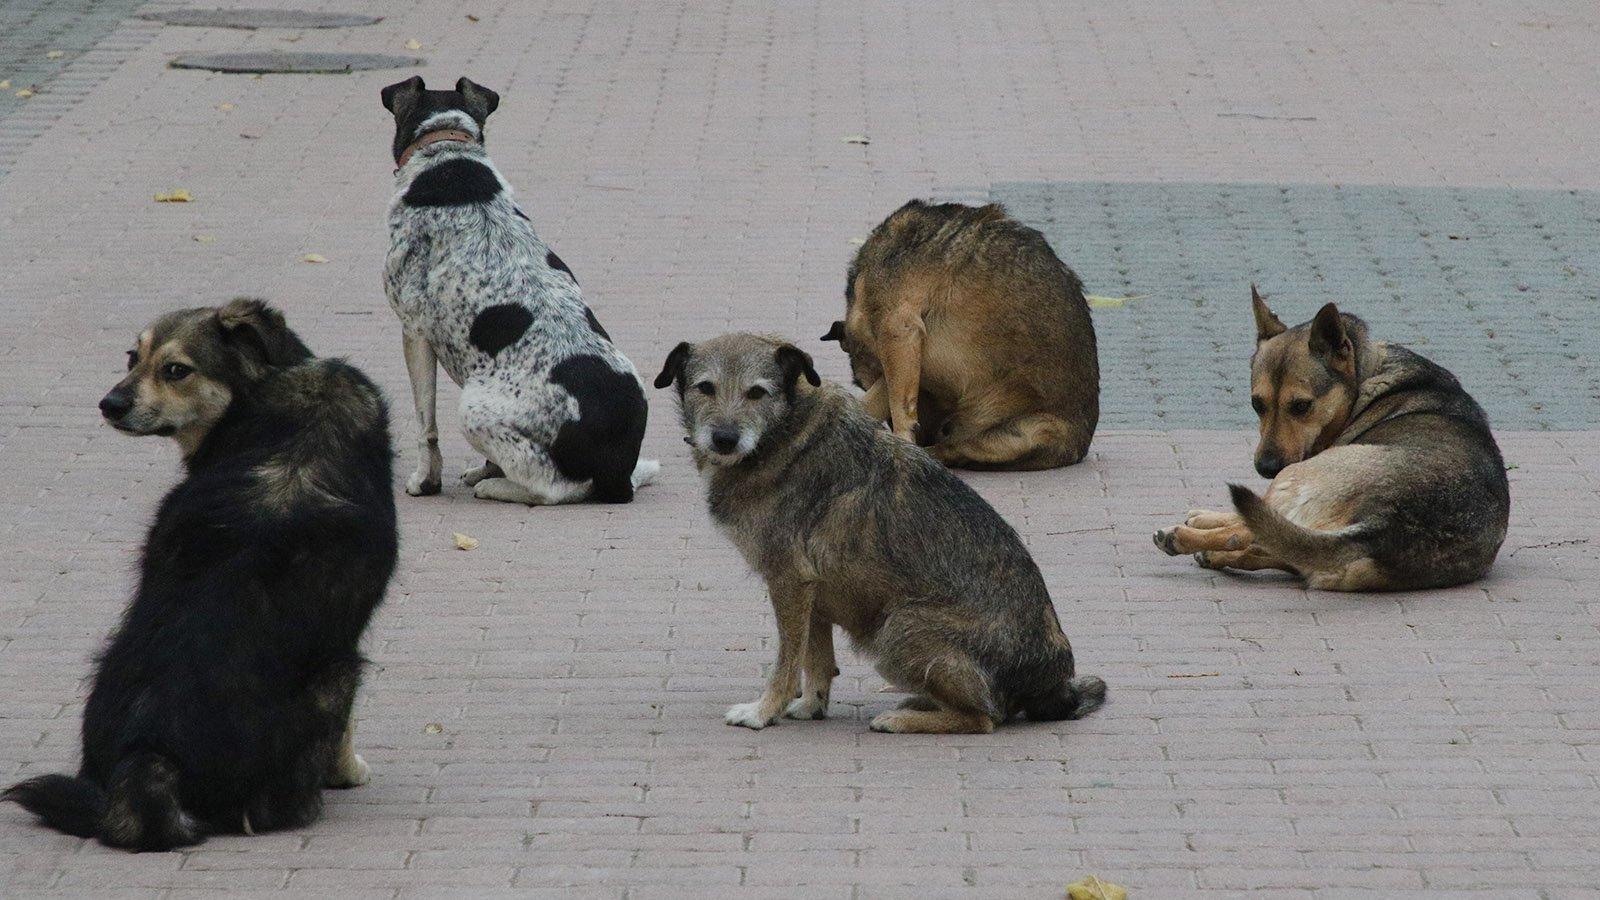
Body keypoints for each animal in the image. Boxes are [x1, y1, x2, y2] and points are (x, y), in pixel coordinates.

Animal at [1, 297, 398, 845]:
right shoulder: (346, 637)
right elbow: (348, 729)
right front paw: (348, 771)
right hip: (338, 673)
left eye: (176, 370)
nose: (110, 404)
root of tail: (151, 757)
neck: (268, 387)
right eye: (133, 357)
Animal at [380, 76, 656, 506]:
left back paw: (500, 487)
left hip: (472, 409)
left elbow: (426, 424)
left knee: (553, 488)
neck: (447, 147)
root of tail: (617, 475)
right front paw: (483, 469)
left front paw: (426, 481)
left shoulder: (414, 333)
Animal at [656, 333, 1107, 733]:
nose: (724, 439)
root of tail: (1054, 683)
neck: (784, 434)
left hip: (896, 627)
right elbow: (816, 658)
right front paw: (811, 705)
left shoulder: (788, 581)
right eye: (705, 388)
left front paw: (764, 712)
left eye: (757, 392)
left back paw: (902, 719)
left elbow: (787, 661)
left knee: (984, 718)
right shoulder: (812, 589)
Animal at [825, 199, 1100, 470]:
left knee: (951, 451)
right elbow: (875, 402)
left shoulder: (898, 331)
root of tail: (1080, 446)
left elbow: (899, 409)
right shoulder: (904, 356)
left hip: (1025, 432)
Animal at [1152, 286, 1510, 592]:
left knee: (1247, 530)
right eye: (1257, 404)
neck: (1364, 377)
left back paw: (1181, 538)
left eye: (1301, 406)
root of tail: (1382, 526)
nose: (1265, 467)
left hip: (1296, 473)